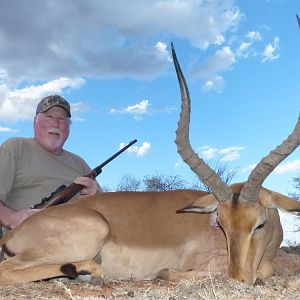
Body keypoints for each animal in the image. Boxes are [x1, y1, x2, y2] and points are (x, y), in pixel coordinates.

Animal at [0, 44, 300, 286]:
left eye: (259, 224)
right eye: (222, 224)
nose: (238, 279)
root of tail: (15, 232)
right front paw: (163, 273)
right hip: (92, 231)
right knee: (7, 271)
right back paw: (88, 272)